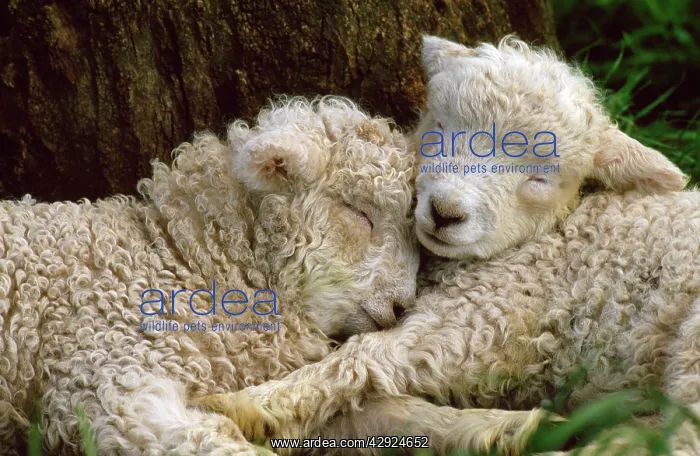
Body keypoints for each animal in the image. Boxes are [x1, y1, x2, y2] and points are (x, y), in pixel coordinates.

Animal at [197, 37, 700, 456]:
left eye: (541, 177)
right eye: (440, 126)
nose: (445, 211)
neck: (546, 237)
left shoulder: (484, 314)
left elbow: (365, 358)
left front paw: (246, 404)